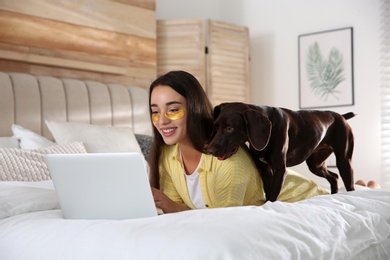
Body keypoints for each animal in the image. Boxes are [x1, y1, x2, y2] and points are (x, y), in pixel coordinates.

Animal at [209, 101, 354, 201]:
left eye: (229, 128)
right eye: (215, 127)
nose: (209, 150)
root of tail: (341, 116)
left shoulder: (279, 169)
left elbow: (273, 195)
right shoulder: (265, 169)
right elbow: (268, 192)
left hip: (344, 162)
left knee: (349, 185)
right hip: (316, 165)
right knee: (334, 177)